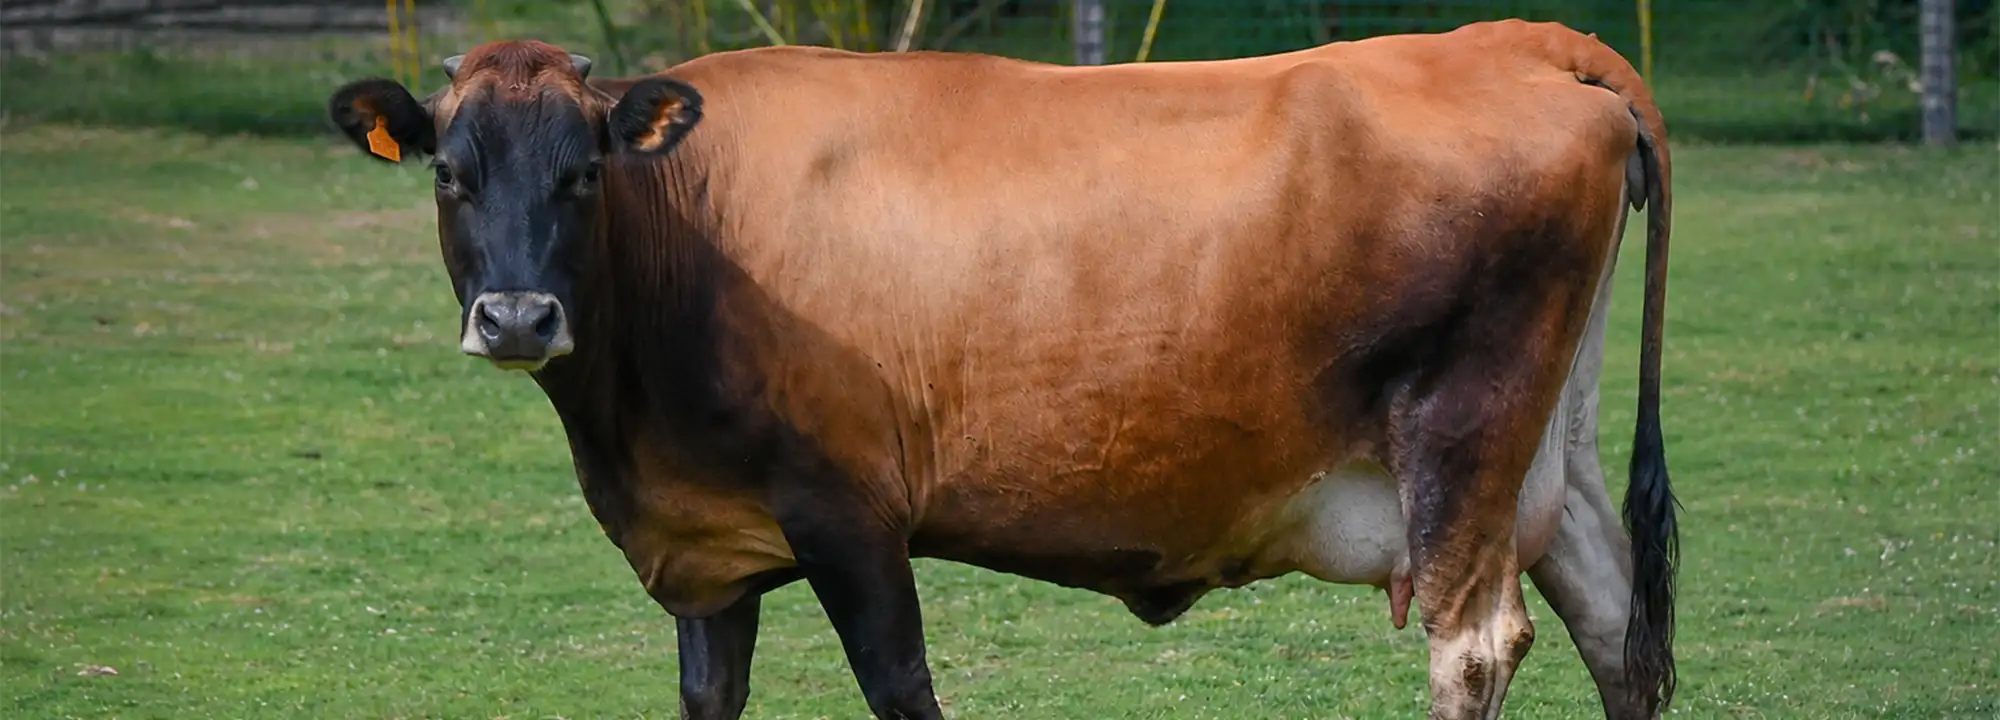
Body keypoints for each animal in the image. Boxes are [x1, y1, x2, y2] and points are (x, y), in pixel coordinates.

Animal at [324, 18, 1679, 720]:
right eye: (449, 174)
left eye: (583, 173)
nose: (516, 317)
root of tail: (1509, 41)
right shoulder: (707, 545)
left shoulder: (847, 511)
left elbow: (898, 683)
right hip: (1547, 455)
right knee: (1616, 623)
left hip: (1458, 440)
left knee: (1476, 641)